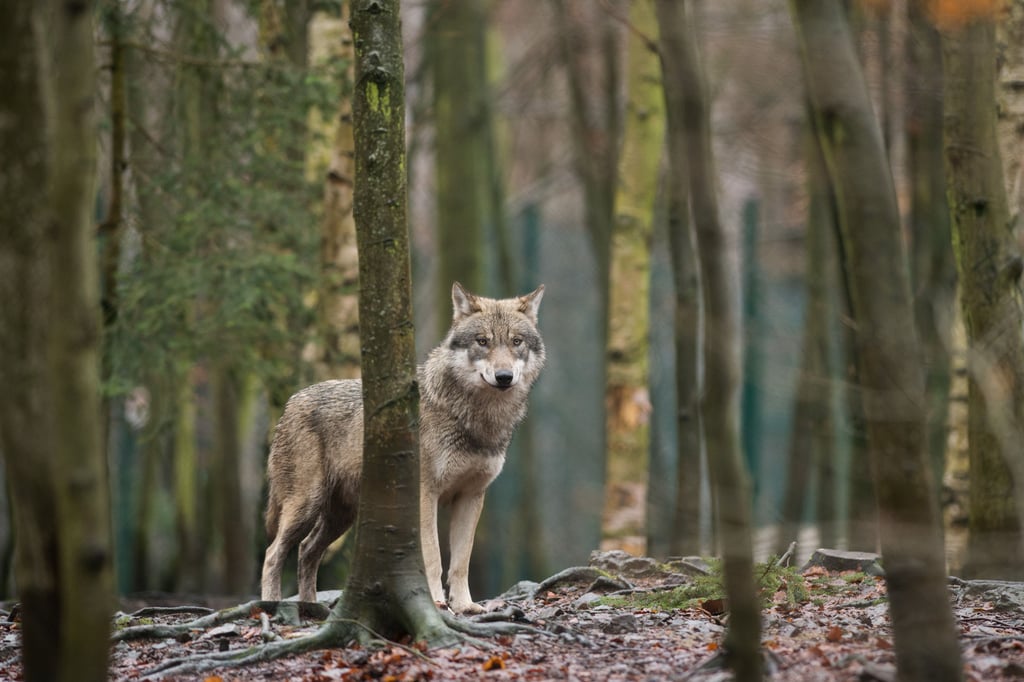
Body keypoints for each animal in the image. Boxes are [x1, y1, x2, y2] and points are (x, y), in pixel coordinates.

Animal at [260, 282, 545, 614]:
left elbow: (461, 561)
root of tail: (291, 401)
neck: (475, 419)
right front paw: (435, 602)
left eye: (516, 342)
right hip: (306, 506)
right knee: (273, 553)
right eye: (483, 341)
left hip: (341, 516)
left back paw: (311, 608)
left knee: (306, 551)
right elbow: (433, 557)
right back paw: (271, 605)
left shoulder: (471, 496)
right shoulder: (425, 494)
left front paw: (465, 606)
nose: (504, 377)